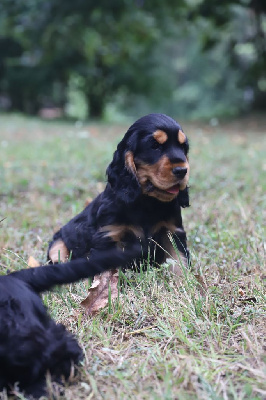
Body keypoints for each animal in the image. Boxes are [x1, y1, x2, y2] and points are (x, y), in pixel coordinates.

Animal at [48, 113, 190, 276]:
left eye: (183, 147)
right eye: (155, 146)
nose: (182, 170)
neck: (146, 202)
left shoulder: (173, 231)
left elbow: (179, 261)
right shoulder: (109, 235)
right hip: (57, 245)